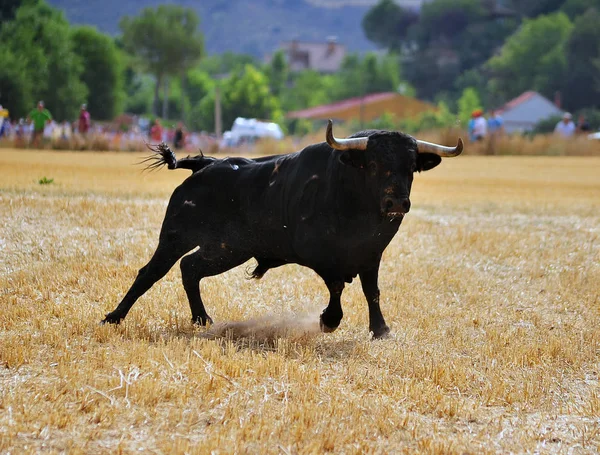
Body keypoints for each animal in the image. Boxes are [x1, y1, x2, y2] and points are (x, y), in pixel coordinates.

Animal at [103, 121, 462, 338]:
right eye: (373, 164)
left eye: (412, 166)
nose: (396, 202)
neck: (353, 198)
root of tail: (207, 165)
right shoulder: (320, 254)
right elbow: (336, 285)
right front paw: (329, 320)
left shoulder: (371, 254)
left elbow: (371, 291)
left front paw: (380, 329)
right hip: (175, 237)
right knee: (151, 272)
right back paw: (114, 317)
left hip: (228, 249)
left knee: (190, 268)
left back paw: (202, 320)